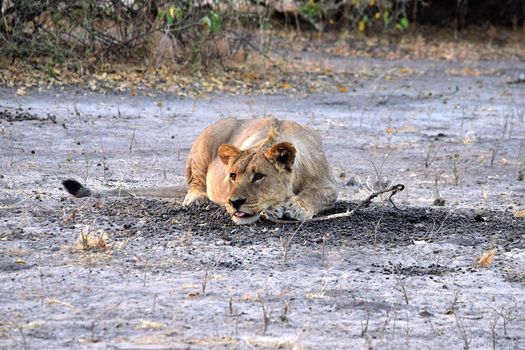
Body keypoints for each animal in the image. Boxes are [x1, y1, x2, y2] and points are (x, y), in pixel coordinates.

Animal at [63, 116, 338, 226]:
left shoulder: (329, 184)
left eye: (259, 176)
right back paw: (197, 199)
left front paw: (294, 207)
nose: (234, 202)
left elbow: (319, 194)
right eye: (232, 175)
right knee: (194, 184)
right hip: (208, 138)